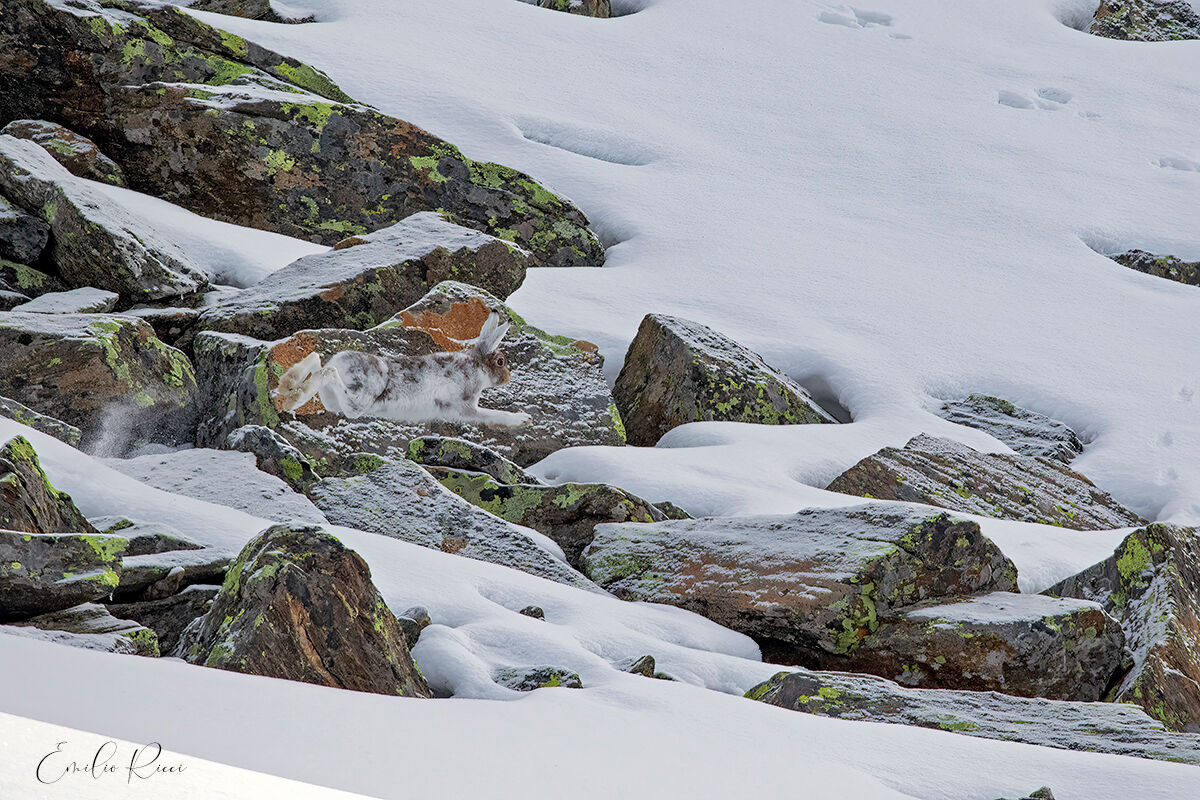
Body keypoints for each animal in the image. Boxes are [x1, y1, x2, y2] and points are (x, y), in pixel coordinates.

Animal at [271, 312, 531, 427]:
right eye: (501, 362)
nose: (508, 377)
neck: (476, 365)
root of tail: (341, 361)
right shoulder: (465, 407)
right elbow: (492, 415)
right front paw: (523, 419)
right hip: (359, 401)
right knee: (327, 373)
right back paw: (293, 399)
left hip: (333, 401)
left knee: (318, 362)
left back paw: (288, 384)